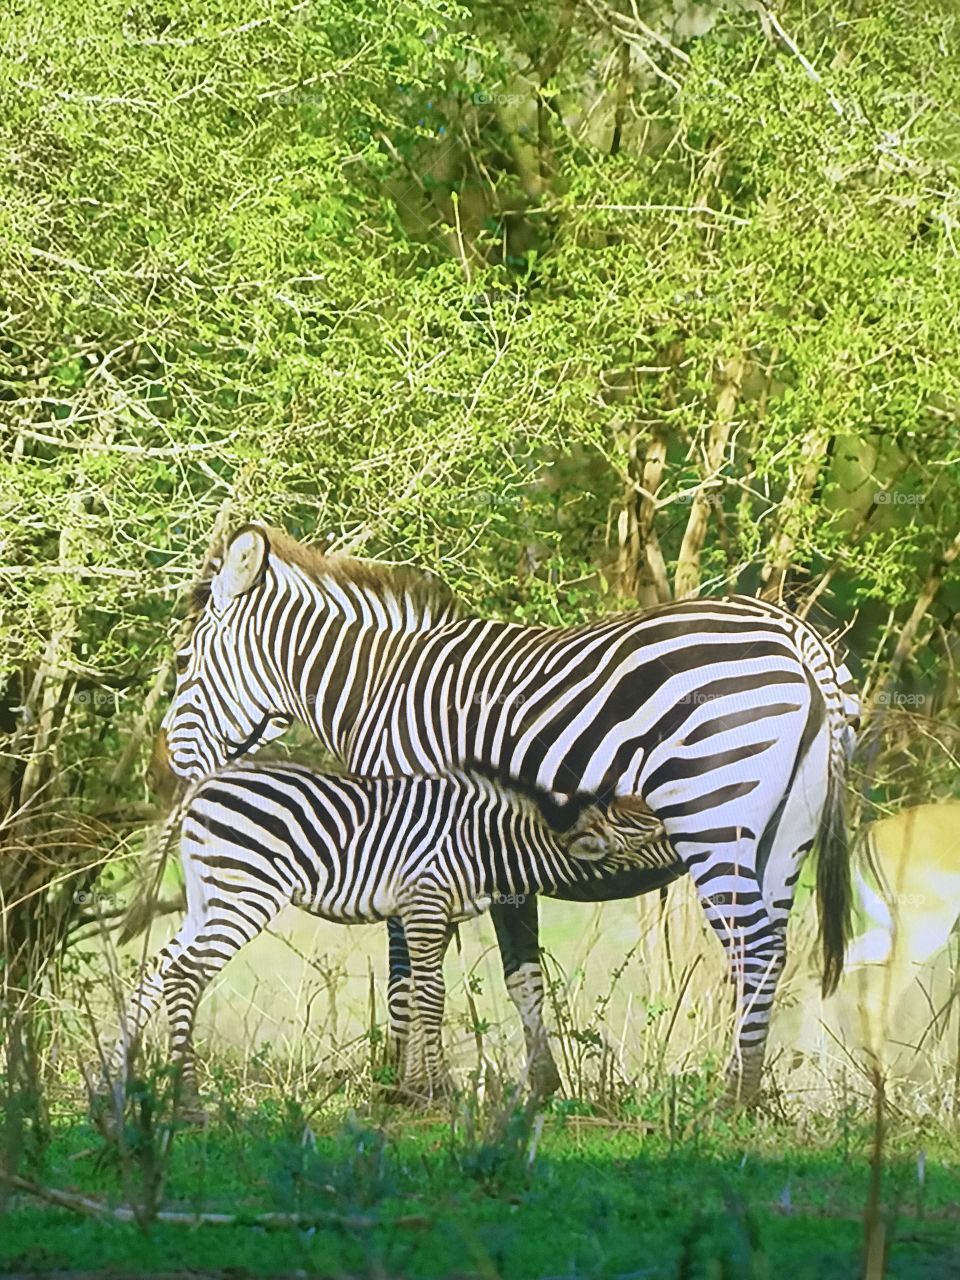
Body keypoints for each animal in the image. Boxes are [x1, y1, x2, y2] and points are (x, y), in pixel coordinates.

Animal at [100, 762, 669, 1114]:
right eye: (654, 833)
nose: (687, 840)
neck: (488, 843)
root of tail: (202, 786)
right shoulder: (426, 899)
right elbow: (431, 995)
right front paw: (437, 1091)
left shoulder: (431, 911)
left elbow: (416, 992)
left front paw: (412, 1088)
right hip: (246, 891)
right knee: (185, 975)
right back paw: (188, 1100)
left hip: (206, 895)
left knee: (154, 972)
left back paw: (113, 1082)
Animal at [149, 522, 859, 1103]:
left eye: (182, 660)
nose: (170, 765)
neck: (380, 687)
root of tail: (795, 636)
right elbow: (523, 976)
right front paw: (538, 1087)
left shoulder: (406, 830)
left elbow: (407, 975)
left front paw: (407, 1091)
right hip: (785, 836)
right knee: (771, 952)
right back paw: (748, 1092)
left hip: (715, 817)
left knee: (753, 947)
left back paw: (730, 1099)